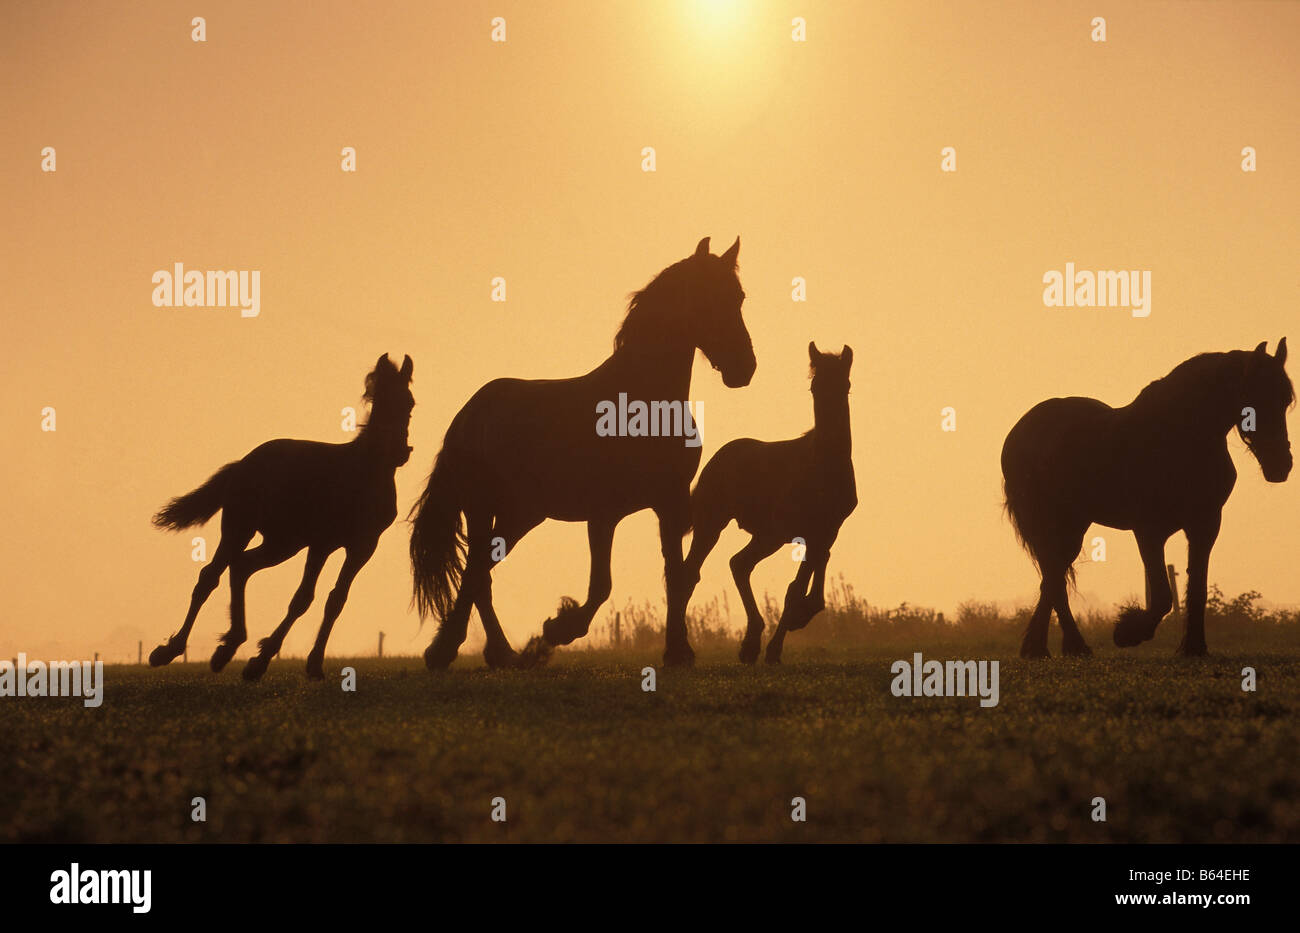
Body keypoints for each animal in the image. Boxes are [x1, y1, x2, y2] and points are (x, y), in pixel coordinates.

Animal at [151, 353, 416, 680]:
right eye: (379, 400)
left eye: (409, 403)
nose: (399, 452)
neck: (364, 473)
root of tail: (243, 463)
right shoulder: (322, 543)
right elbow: (302, 598)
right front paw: (260, 662)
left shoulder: (363, 547)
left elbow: (336, 600)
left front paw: (314, 664)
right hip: (241, 527)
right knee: (210, 577)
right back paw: (170, 650)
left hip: (283, 543)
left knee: (242, 566)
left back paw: (228, 647)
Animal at [405, 237, 754, 670]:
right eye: (706, 298)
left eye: (738, 297)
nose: (745, 368)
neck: (643, 402)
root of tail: (468, 414)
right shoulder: (603, 513)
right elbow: (602, 585)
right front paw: (559, 629)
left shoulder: (669, 503)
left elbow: (677, 575)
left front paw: (678, 650)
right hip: (482, 507)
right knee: (477, 575)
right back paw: (457, 650)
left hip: (522, 514)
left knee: (481, 571)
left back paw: (497, 652)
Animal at [676, 343, 857, 665]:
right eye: (814, 386)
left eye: (845, 385)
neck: (823, 469)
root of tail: (718, 458)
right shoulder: (801, 533)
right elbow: (795, 589)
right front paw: (775, 648)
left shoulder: (826, 532)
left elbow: (806, 584)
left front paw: (797, 621)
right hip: (718, 525)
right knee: (696, 571)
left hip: (765, 536)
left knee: (738, 564)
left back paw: (750, 644)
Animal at [1003, 340, 1289, 657]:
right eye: (1255, 399)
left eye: (1285, 401)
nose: (1281, 465)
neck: (1179, 438)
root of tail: (1021, 430)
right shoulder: (1149, 530)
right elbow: (1163, 596)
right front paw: (1128, 632)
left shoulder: (1205, 524)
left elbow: (1197, 589)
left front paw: (1194, 647)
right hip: (1048, 521)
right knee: (1053, 578)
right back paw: (1063, 646)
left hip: (1073, 525)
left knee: (1053, 577)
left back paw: (1048, 647)